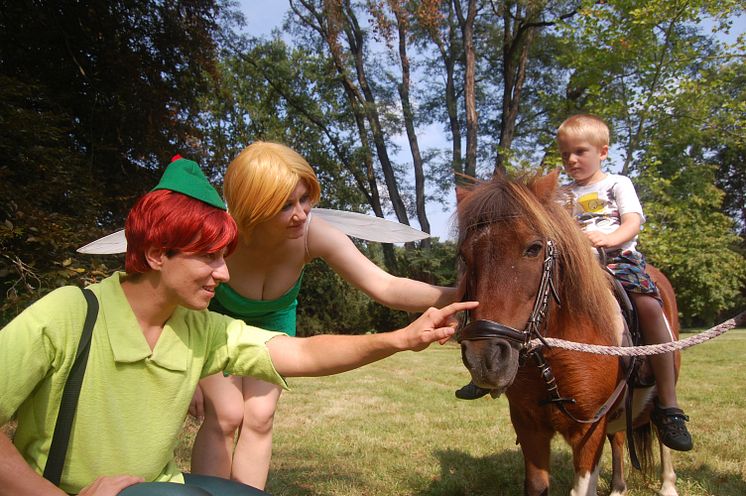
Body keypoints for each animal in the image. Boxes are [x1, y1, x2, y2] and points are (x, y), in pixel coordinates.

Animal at [454, 171, 680, 496]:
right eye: (465, 255)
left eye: (534, 248)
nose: (486, 359)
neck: (551, 355)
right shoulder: (528, 425)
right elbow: (537, 485)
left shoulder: (589, 428)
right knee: (619, 439)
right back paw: (618, 487)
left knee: (663, 432)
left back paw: (669, 482)